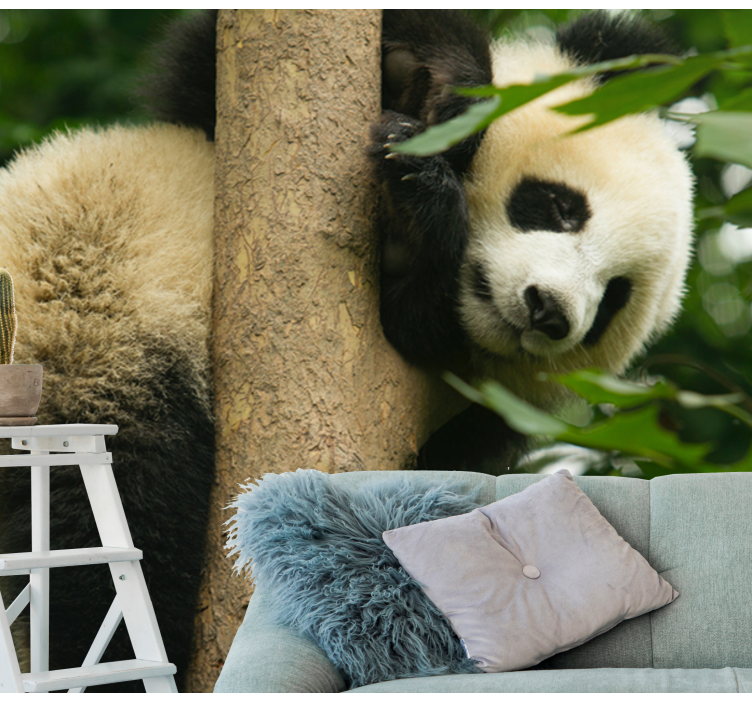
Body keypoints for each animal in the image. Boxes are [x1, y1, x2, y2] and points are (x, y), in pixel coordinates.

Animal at [0, 9, 692, 691]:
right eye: (558, 205)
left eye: (612, 300)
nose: (550, 312)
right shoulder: (206, 131)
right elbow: (205, 72)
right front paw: (434, 93)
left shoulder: (473, 414)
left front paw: (421, 222)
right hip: (96, 316)